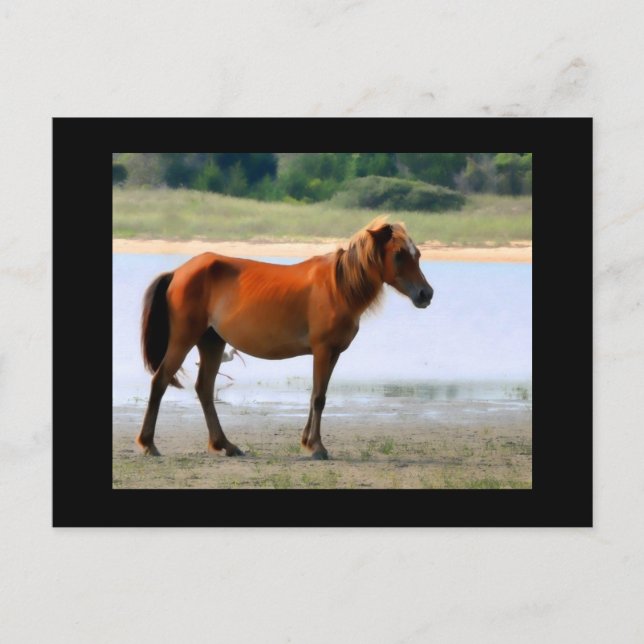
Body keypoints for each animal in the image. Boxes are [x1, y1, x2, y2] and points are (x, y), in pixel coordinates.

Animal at [136, 216, 433, 460]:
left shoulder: (333, 353)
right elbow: (319, 398)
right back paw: (149, 444)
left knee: (204, 389)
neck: (337, 287)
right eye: (398, 254)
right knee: (160, 382)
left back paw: (225, 445)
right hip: (183, 339)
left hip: (212, 342)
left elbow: (316, 394)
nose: (426, 294)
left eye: (417, 254)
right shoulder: (323, 350)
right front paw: (317, 447)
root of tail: (178, 272)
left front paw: (307, 442)